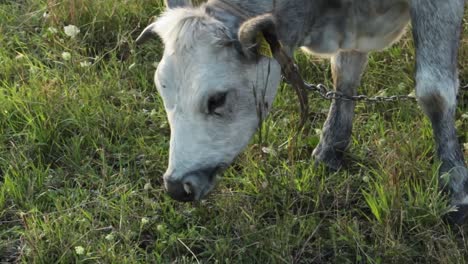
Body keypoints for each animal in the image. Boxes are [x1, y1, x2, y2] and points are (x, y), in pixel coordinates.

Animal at [137, 0, 468, 223]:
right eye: (161, 89)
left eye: (216, 99)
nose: (176, 186)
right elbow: (345, 74)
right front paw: (330, 149)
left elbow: (434, 92)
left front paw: (455, 184)